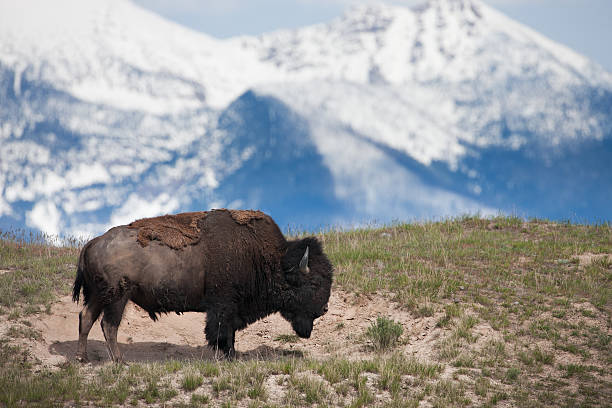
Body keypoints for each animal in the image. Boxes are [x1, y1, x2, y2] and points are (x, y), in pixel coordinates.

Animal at [71, 209, 334, 362]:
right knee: (108, 325)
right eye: (314, 282)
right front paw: (228, 357)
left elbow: (229, 333)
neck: (267, 259)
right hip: (117, 297)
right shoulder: (223, 306)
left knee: (86, 317)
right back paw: (119, 361)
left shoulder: (230, 309)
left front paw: (232, 355)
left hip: (99, 295)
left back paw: (83, 358)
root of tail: (93, 242)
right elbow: (220, 332)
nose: (324, 309)